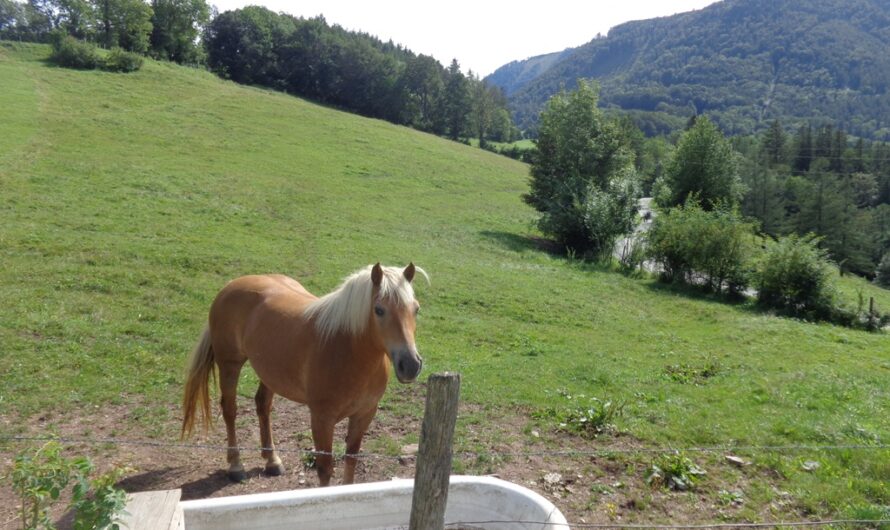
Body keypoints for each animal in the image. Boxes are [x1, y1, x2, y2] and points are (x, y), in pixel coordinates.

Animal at [180, 262, 424, 484]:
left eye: (416, 309)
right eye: (379, 310)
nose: (411, 364)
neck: (345, 347)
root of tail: (230, 286)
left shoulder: (364, 414)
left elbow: (351, 462)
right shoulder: (321, 418)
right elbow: (325, 469)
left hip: (270, 372)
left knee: (263, 406)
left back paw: (272, 461)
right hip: (230, 364)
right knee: (230, 410)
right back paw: (236, 465)